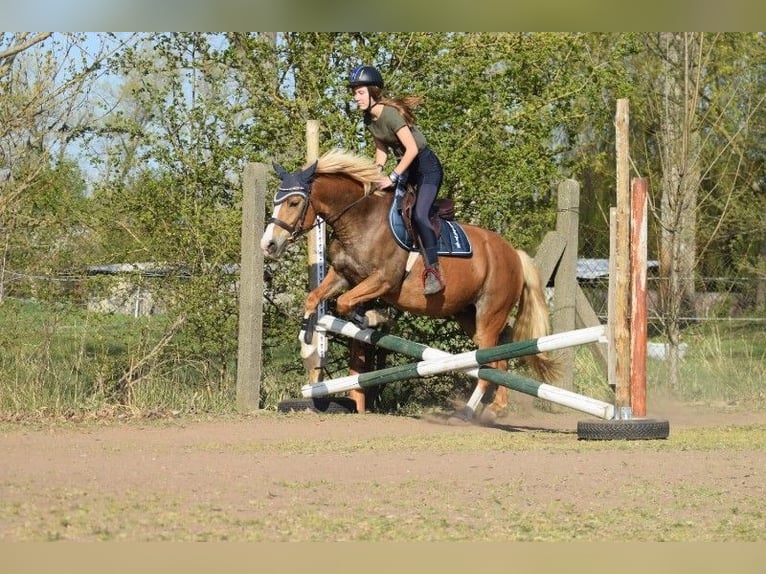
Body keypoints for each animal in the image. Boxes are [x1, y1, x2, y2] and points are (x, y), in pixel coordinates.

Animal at [260, 148, 560, 420]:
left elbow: (346, 303)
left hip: (489, 312)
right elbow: (313, 298)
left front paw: (374, 317)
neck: (360, 219)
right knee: (499, 352)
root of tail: (514, 254)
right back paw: (497, 407)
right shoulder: (343, 274)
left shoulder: (384, 280)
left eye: (294, 202)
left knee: (487, 359)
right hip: (469, 314)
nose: (268, 245)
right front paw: (309, 349)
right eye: (276, 200)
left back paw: (467, 411)